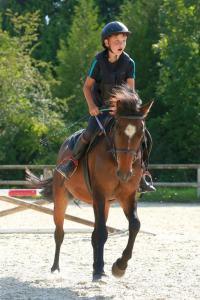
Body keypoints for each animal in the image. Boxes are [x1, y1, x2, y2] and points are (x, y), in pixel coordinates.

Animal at [27, 85, 153, 280]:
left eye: (141, 133)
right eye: (118, 129)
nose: (125, 173)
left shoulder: (128, 195)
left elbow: (134, 225)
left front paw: (119, 266)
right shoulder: (99, 194)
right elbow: (100, 232)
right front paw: (101, 270)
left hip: (106, 203)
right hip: (62, 198)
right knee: (59, 232)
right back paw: (56, 268)